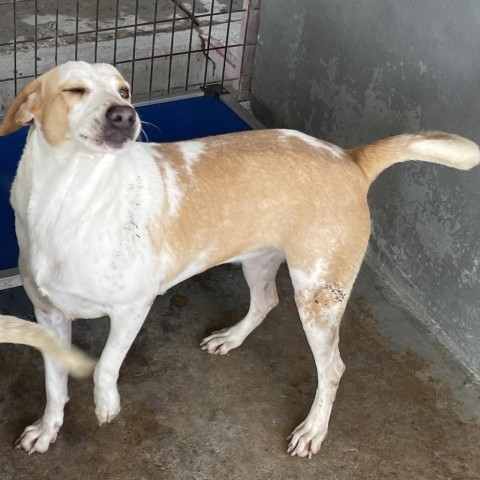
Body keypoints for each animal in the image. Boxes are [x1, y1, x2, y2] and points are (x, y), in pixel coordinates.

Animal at [0, 61, 478, 458]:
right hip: (260, 261)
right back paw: (231, 338)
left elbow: (104, 367)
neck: (68, 200)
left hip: (319, 296)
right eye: (75, 89)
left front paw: (106, 406)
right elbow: (53, 383)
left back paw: (313, 430)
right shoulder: (47, 316)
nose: (126, 115)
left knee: (333, 367)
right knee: (266, 301)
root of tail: (349, 158)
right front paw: (47, 429)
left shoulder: (132, 309)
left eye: (125, 90)